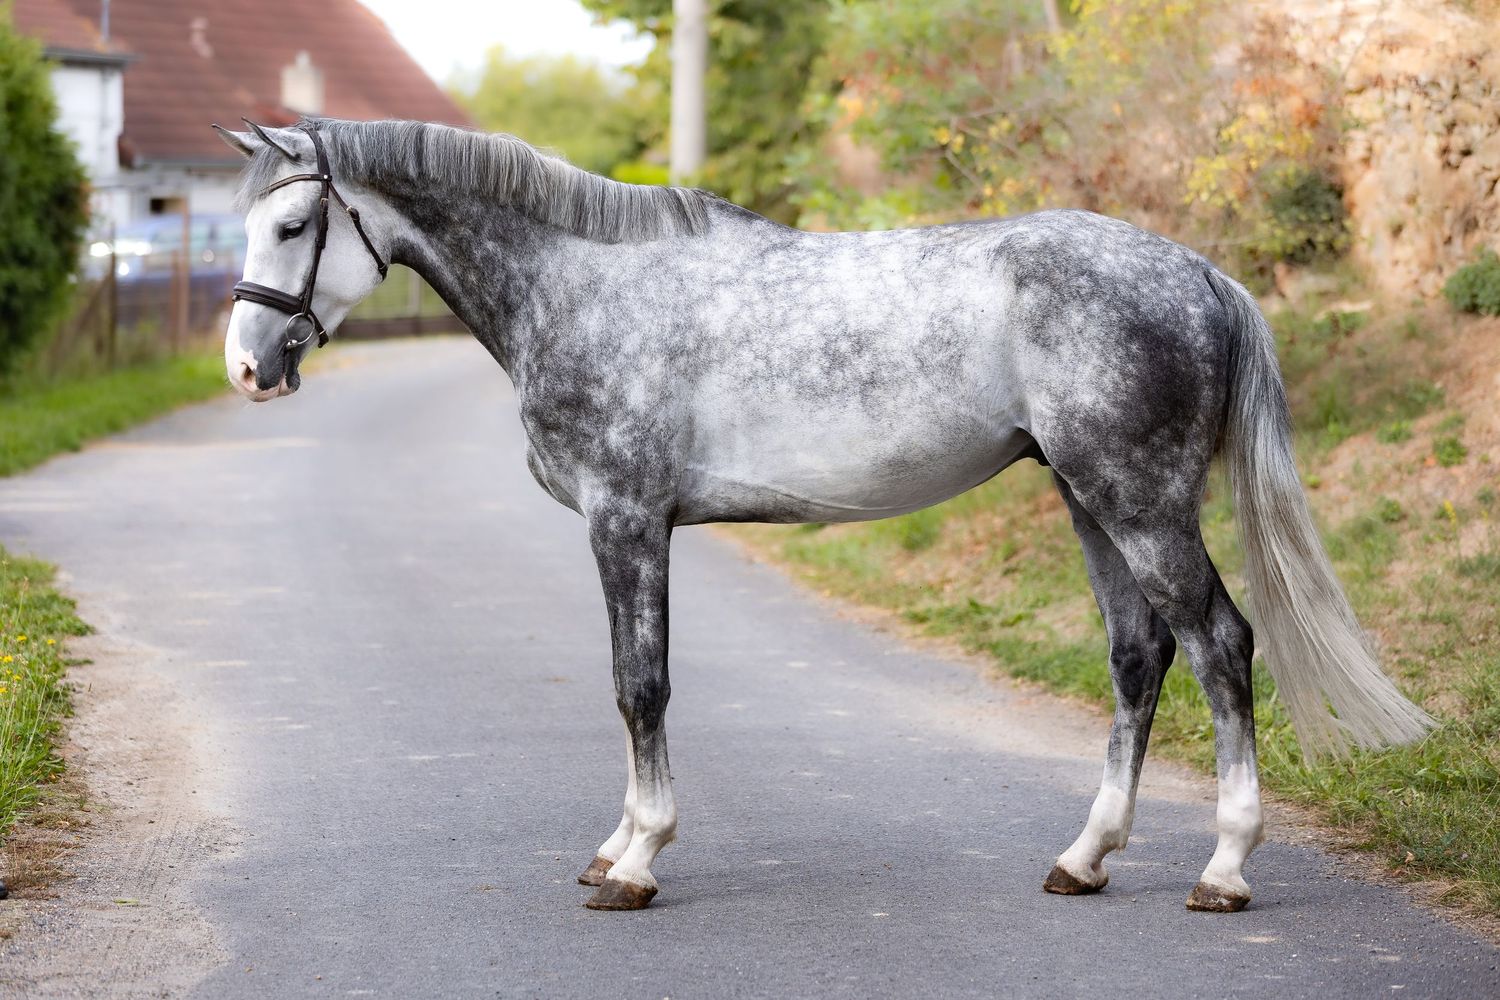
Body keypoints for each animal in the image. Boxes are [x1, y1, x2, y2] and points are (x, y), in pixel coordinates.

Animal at [215, 117, 1432, 912]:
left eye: (294, 222)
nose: (245, 369)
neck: (585, 285)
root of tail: (1199, 274)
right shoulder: (623, 527)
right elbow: (628, 684)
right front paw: (616, 846)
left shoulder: (626, 519)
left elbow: (640, 686)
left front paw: (638, 861)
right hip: (1091, 499)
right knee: (1141, 655)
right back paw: (1084, 859)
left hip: (1140, 503)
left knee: (1221, 643)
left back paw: (1224, 869)